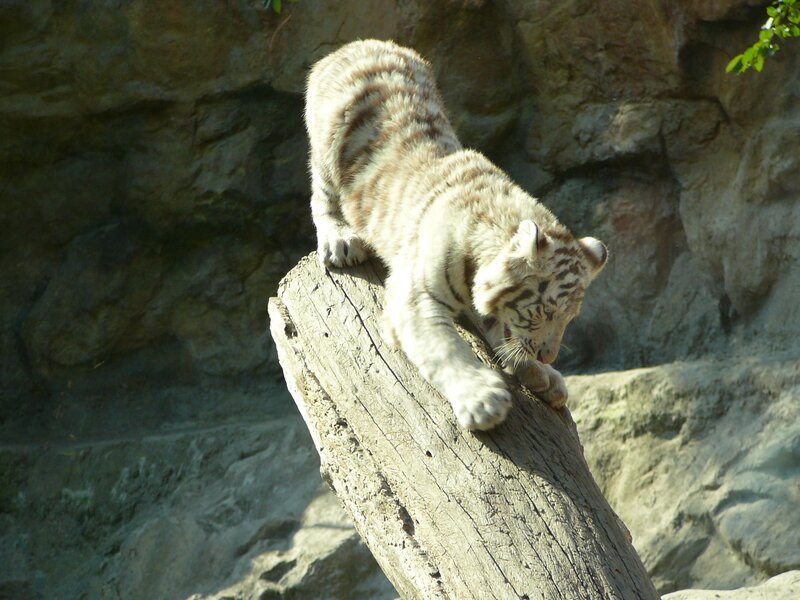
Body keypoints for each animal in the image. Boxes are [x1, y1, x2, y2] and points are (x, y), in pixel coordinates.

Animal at [304, 39, 607, 431]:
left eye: (570, 318)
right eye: (544, 312)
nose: (548, 354)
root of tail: (359, 43)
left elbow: (505, 337)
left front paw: (546, 379)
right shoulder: (414, 295)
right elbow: (443, 348)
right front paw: (483, 402)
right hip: (328, 148)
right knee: (321, 195)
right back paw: (340, 241)